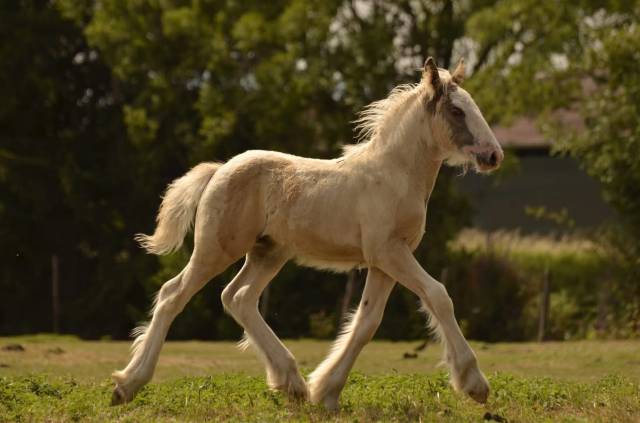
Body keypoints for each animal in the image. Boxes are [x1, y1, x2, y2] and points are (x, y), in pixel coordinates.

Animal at [110, 57, 503, 410]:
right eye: (456, 111)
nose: (494, 155)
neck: (394, 175)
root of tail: (219, 170)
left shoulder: (384, 261)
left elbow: (366, 322)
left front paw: (327, 392)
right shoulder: (389, 252)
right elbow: (438, 296)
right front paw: (474, 383)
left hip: (268, 253)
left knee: (238, 298)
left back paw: (292, 384)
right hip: (216, 249)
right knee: (172, 294)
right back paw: (127, 385)